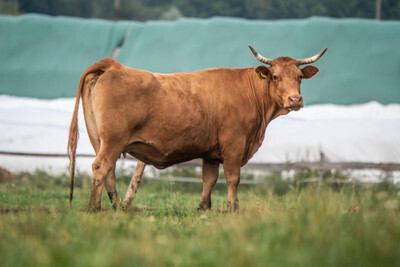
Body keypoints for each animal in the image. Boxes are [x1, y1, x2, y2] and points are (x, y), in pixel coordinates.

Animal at [67, 46, 326, 214]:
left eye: (299, 76)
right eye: (275, 76)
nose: (295, 99)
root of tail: (114, 65)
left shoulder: (210, 152)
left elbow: (209, 179)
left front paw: (204, 208)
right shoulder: (234, 144)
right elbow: (232, 178)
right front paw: (233, 208)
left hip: (100, 141)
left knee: (108, 172)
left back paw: (114, 207)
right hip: (113, 141)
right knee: (100, 168)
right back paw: (94, 208)